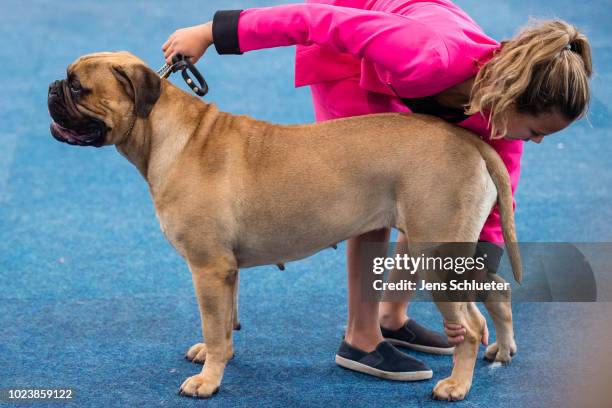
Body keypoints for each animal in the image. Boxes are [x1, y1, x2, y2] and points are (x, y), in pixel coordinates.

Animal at [46, 51, 520, 402]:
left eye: (77, 86)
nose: (51, 87)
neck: (168, 135)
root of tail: (469, 141)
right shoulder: (226, 271)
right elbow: (225, 323)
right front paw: (217, 357)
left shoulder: (207, 268)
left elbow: (213, 324)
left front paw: (208, 381)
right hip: (459, 248)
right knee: (497, 289)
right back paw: (503, 348)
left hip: (433, 254)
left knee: (469, 326)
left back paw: (456, 385)